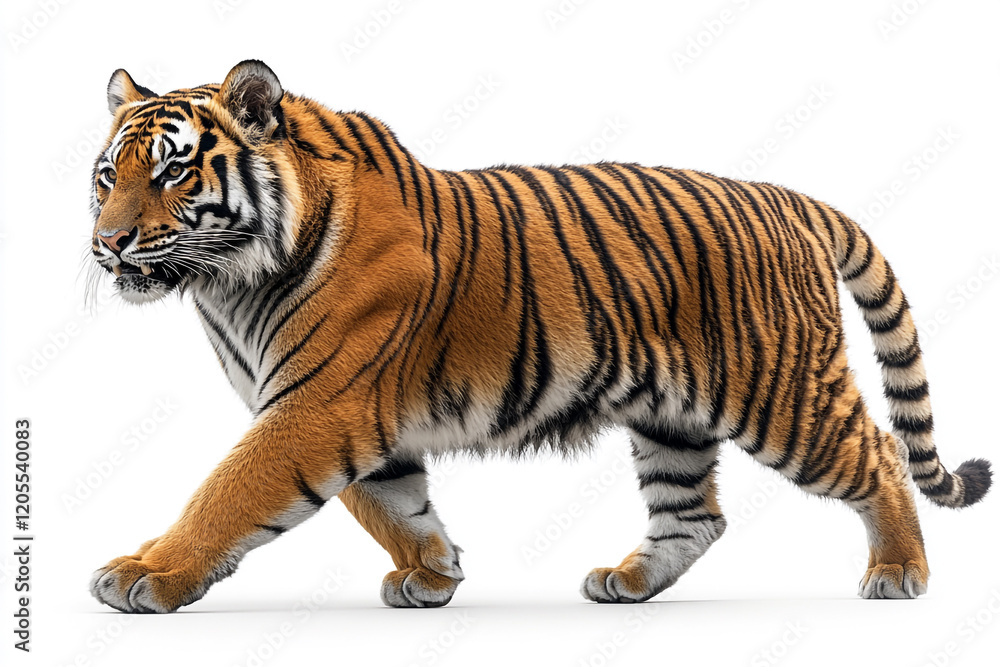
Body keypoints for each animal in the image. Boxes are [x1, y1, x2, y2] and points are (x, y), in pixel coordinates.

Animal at [88, 60, 991, 613]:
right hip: (671, 415)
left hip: (782, 394)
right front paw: (433, 571)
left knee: (879, 454)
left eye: (172, 171)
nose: (109, 242)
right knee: (694, 516)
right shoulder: (348, 416)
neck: (231, 283)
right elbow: (390, 502)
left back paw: (898, 571)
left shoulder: (317, 405)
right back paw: (628, 580)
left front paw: (144, 572)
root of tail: (790, 197)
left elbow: (227, 493)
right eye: (106, 177)